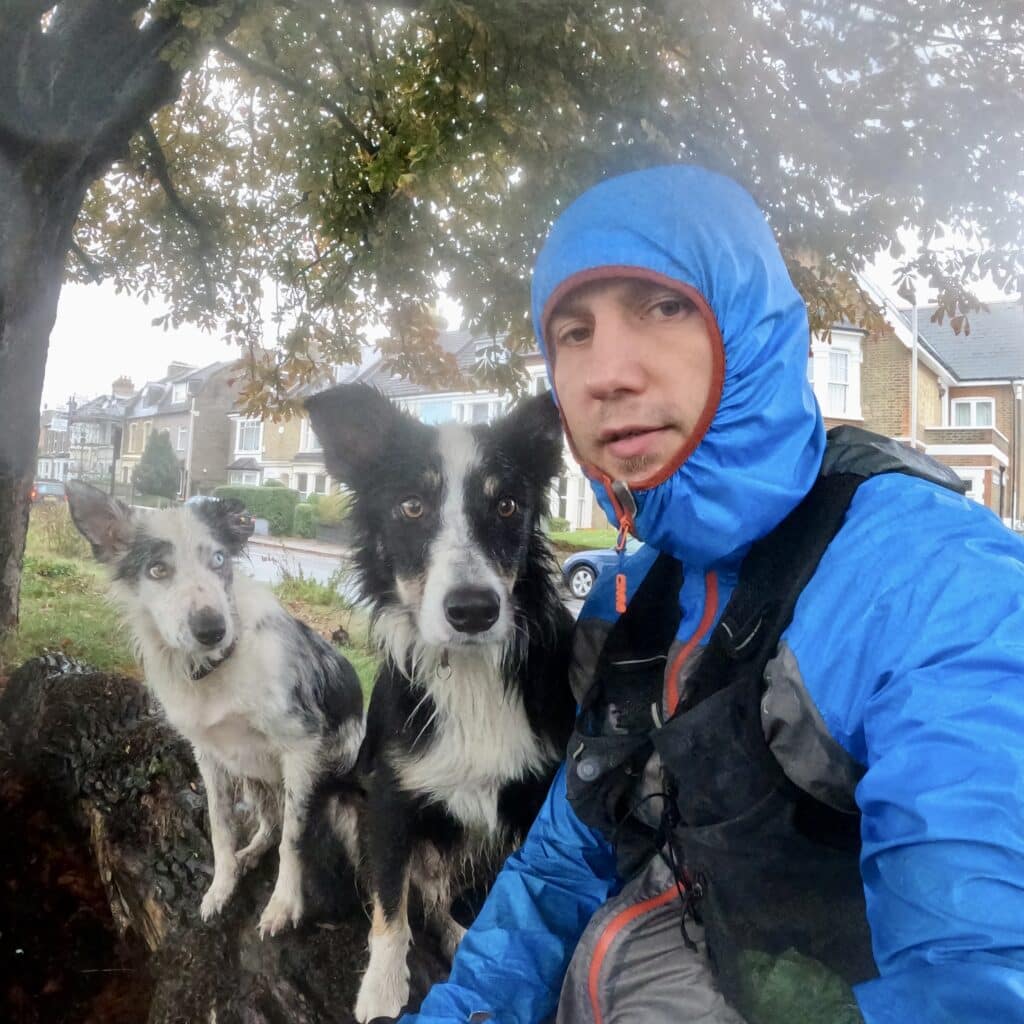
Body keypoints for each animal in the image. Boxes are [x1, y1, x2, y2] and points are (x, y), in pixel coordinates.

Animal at [303, 380, 577, 1019]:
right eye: (411, 507)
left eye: (506, 506)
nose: (473, 611)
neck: (471, 675)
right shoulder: (389, 798)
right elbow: (390, 910)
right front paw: (382, 991)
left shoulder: (533, 799)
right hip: (345, 803)